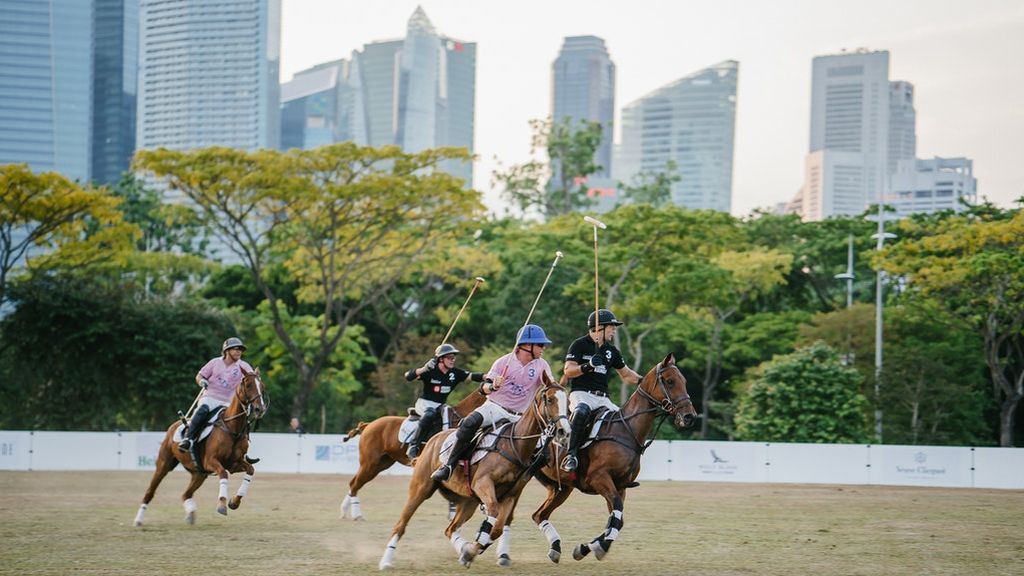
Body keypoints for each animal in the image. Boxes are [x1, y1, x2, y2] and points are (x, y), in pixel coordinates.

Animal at [132, 366, 268, 524]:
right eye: (248, 385)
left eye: (262, 387)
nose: (260, 409)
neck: (232, 429)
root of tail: (175, 424)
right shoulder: (210, 461)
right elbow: (223, 473)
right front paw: (222, 505)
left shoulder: (234, 464)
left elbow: (250, 470)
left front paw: (234, 501)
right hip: (164, 464)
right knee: (150, 492)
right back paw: (138, 520)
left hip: (199, 473)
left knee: (186, 494)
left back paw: (190, 514)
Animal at [339, 387, 487, 518]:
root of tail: (368, 425)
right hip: (369, 463)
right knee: (354, 484)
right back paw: (356, 514)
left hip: (381, 464)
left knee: (354, 483)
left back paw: (345, 511)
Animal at [378, 368, 573, 565]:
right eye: (550, 399)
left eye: (568, 402)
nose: (564, 432)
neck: (515, 445)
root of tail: (432, 440)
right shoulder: (482, 483)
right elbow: (492, 512)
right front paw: (474, 547)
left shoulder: (510, 495)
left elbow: (497, 528)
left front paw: (472, 549)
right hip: (420, 488)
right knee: (401, 524)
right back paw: (386, 561)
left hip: (468, 501)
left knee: (450, 528)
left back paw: (464, 550)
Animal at [528, 350, 696, 561]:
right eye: (670, 381)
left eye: (684, 381)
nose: (689, 417)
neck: (627, 431)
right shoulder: (599, 478)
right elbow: (616, 513)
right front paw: (599, 547)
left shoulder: (620, 486)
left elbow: (617, 519)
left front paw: (585, 548)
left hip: (562, 487)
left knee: (539, 515)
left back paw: (555, 548)